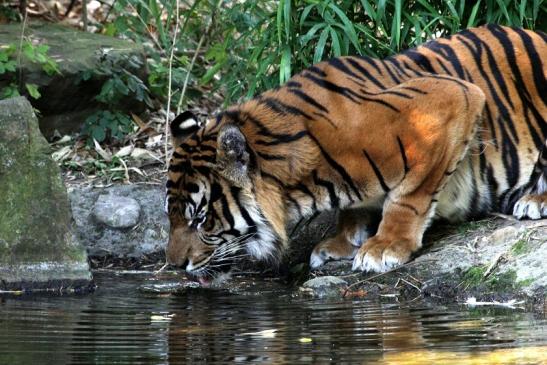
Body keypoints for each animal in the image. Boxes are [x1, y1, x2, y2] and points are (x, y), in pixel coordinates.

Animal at [164, 24, 547, 288]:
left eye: (200, 219)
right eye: (172, 216)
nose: (174, 265)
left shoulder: (449, 101)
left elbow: (410, 196)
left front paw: (385, 247)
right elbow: (353, 208)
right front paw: (341, 241)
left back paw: (535, 200)